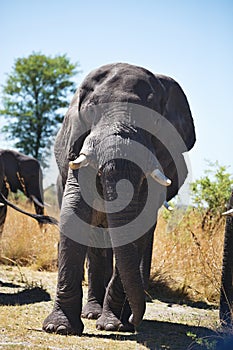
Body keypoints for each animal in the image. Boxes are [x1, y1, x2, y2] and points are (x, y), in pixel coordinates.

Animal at [42, 63, 196, 336]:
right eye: (91, 111)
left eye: (155, 121)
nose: (135, 319)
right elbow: (74, 215)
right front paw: (58, 328)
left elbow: (138, 225)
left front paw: (114, 324)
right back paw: (92, 312)